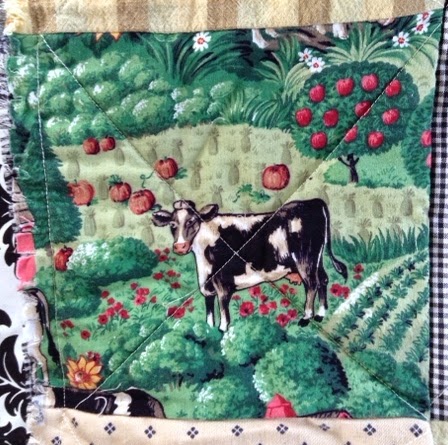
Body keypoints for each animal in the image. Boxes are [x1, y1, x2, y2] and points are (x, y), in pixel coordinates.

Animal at [152, 199, 347, 331]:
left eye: (192, 221)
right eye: (172, 224)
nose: (180, 246)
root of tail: (313, 201)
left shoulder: (223, 286)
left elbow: (224, 318)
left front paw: (221, 334)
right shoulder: (207, 287)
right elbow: (209, 316)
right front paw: (208, 333)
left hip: (305, 259)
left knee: (312, 284)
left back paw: (306, 317)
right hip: (317, 258)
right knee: (323, 280)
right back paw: (321, 314)